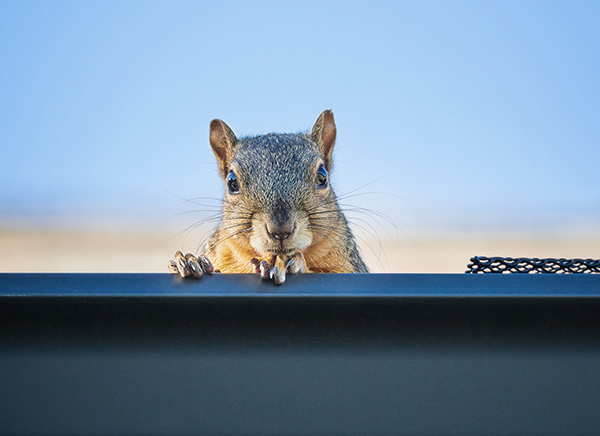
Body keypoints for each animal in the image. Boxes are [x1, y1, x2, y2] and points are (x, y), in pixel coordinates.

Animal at [166, 110, 368, 284]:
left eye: (322, 177)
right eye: (232, 182)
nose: (280, 230)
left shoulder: (351, 264)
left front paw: (290, 264)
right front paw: (192, 263)